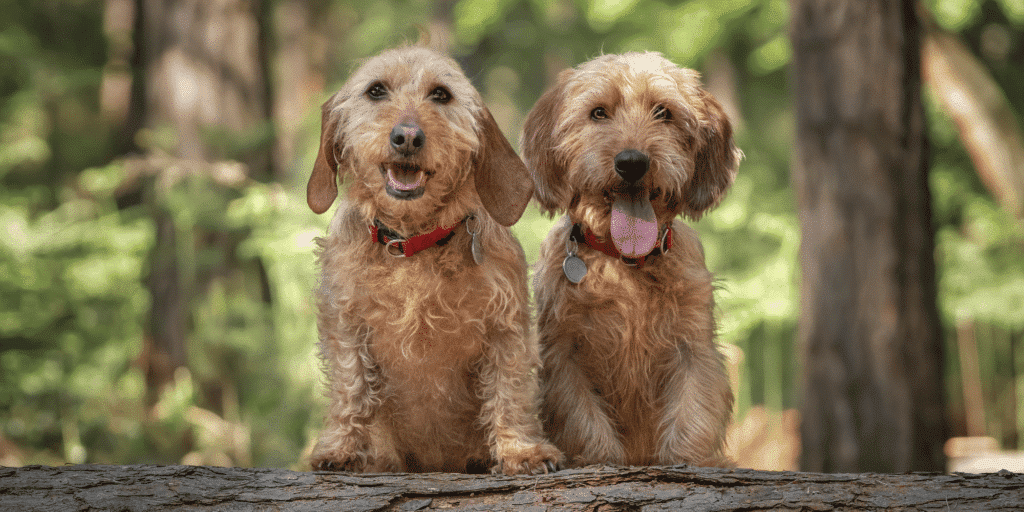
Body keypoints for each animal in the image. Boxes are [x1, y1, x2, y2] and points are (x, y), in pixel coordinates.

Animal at [303, 46, 561, 473]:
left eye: (441, 94)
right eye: (376, 90)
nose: (407, 136)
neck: (413, 243)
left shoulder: (505, 326)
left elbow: (510, 390)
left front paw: (522, 451)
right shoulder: (345, 322)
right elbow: (350, 385)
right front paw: (341, 448)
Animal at [524, 51, 741, 468]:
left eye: (663, 112)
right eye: (598, 113)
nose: (632, 162)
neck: (625, 264)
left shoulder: (693, 347)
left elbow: (693, 411)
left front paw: (688, 460)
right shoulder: (563, 354)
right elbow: (583, 419)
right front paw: (599, 459)